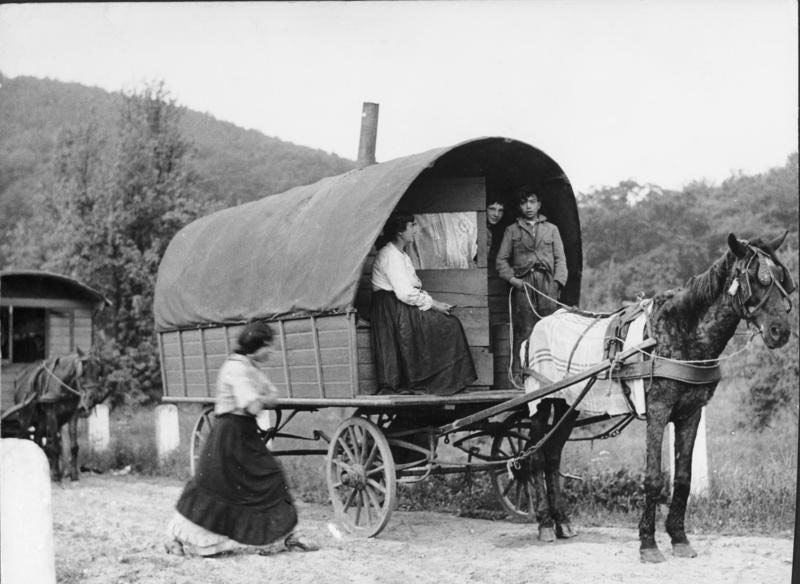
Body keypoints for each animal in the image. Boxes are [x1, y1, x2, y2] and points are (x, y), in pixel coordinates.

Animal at [2, 350, 112, 482]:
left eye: (98, 371)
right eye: (82, 372)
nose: (94, 398)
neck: (63, 384)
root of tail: (20, 378)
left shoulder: (73, 415)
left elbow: (73, 446)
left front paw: (73, 474)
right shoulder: (52, 415)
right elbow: (54, 445)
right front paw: (56, 475)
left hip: (41, 422)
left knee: (37, 441)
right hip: (25, 417)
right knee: (22, 438)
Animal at [512, 232, 792, 560]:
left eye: (782, 279)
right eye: (757, 278)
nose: (780, 331)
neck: (679, 332)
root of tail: (539, 325)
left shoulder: (691, 413)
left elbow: (682, 479)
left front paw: (679, 538)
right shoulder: (658, 410)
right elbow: (654, 478)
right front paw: (648, 542)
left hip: (571, 404)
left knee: (553, 454)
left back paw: (563, 522)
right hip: (542, 401)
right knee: (535, 456)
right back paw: (545, 523)